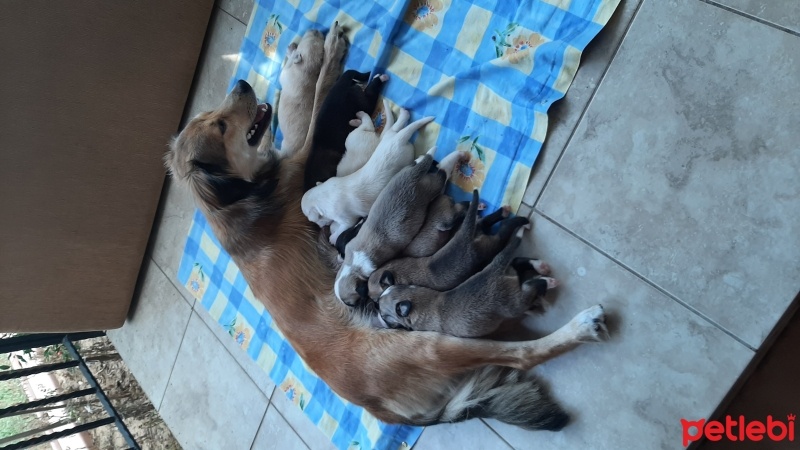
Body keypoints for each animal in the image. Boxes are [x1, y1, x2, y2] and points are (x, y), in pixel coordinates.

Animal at [304, 105, 434, 243]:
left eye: (316, 220)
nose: (321, 227)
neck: (323, 195)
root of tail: (399, 140)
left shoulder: (346, 219)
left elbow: (342, 228)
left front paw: (332, 238)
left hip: (356, 139)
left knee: (367, 125)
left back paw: (359, 117)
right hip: (390, 139)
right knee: (395, 126)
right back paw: (404, 114)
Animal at [334, 153, 450, 308]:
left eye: (352, 303)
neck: (354, 265)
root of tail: (412, 175)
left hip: (431, 188)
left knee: (440, 177)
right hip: (410, 176)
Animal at [368, 189, 532, 298]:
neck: (399, 272)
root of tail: (466, 237)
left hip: (493, 243)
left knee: (504, 228)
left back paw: (522, 222)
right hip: (480, 228)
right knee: (488, 220)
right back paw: (501, 211)